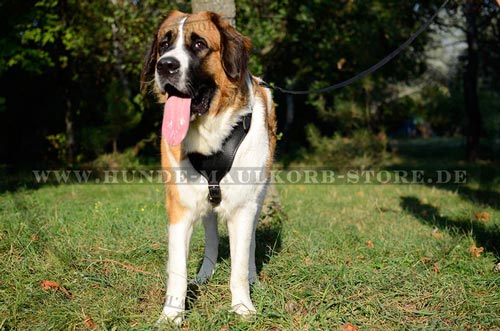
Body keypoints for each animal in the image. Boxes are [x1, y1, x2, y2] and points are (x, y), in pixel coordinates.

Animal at [141, 9, 278, 324]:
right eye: (164, 45)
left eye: (199, 44)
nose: (165, 66)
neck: (210, 135)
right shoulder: (180, 208)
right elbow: (177, 269)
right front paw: (171, 315)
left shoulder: (243, 207)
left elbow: (239, 264)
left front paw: (242, 307)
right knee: (212, 239)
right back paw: (204, 275)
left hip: (258, 198)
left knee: (250, 246)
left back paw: (253, 279)